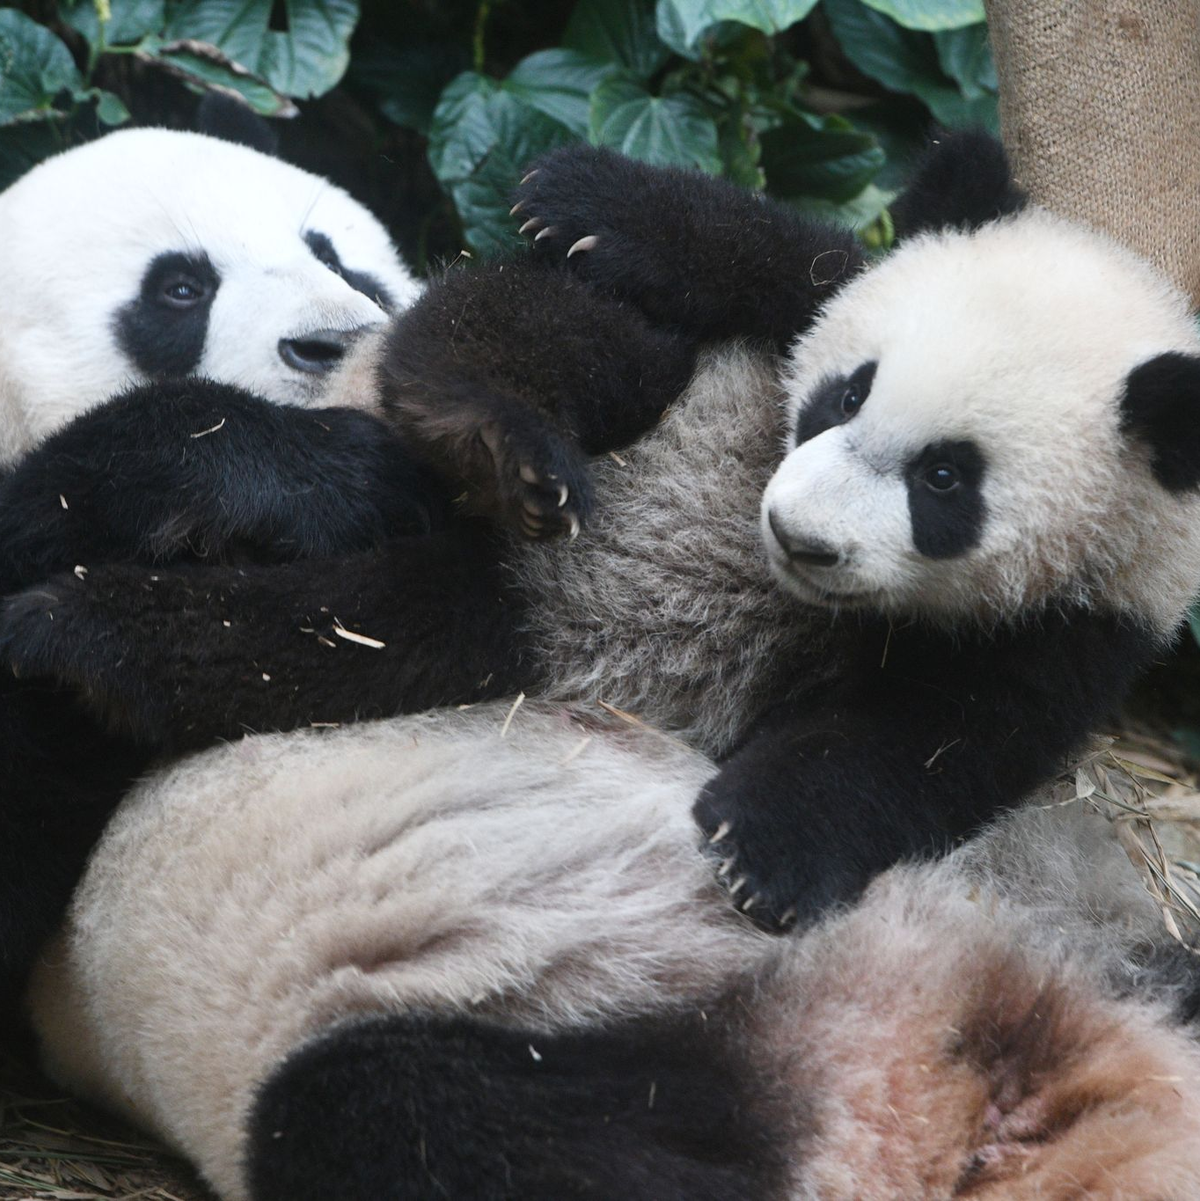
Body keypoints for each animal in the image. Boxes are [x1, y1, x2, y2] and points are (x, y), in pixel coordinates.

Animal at [10, 131, 1200, 934]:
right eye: (845, 395)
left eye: (946, 480)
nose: (796, 533)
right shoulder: (781, 318)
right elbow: (771, 254)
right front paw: (579, 194)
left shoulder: (1066, 629)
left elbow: (918, 746)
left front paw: (759, 852)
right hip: (616, 407)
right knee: (517, 337)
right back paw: (498, 437)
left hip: (483, 631)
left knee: (328, 636)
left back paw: (88, 641)